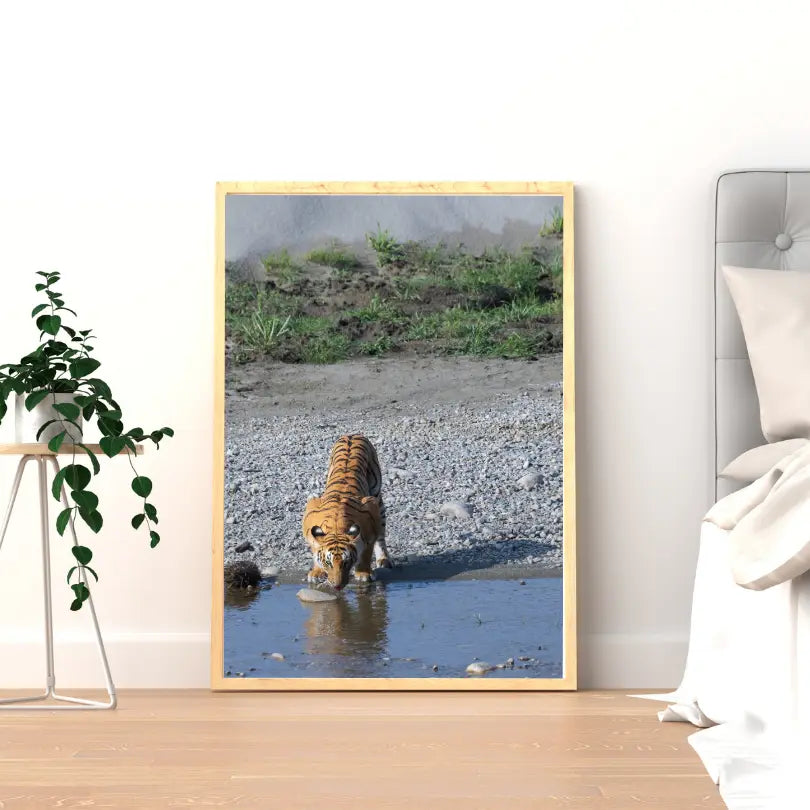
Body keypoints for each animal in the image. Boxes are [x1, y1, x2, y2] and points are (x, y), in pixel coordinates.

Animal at [302, 434, 392, 590]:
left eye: (346, 562)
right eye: (328, 562)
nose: (338, 586)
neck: (336, 526)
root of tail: (353, 434)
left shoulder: (371, 512)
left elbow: (366, 551)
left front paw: (364, 573)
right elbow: (315, 547)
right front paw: (317, 572)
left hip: (377, 498)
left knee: (381, 536)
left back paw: (384, 560)